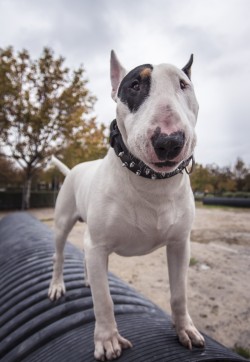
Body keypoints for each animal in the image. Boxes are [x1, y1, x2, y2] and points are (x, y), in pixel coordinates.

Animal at [48, 50, 205, 360]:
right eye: (134, 85)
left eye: (183, 84)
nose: (169, 141)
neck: (151, 182)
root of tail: (73, 169)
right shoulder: (98, 244)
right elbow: (104, 300)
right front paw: (108, 340)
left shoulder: (180, 244)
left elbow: (179, 293)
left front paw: (185, 330)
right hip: (62, 224)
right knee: (59, 256)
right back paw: (58, 286)